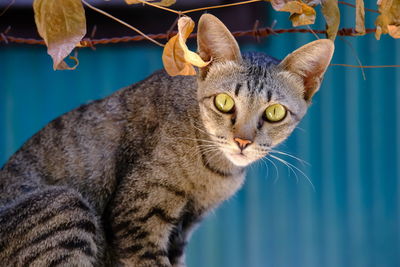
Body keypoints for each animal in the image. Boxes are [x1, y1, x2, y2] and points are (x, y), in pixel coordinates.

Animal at [0, 14, 334, 267]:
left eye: (275, 112)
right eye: (224, 102)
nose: (242, 141)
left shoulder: (182, 230)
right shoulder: (137, 220)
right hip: (64, 203)